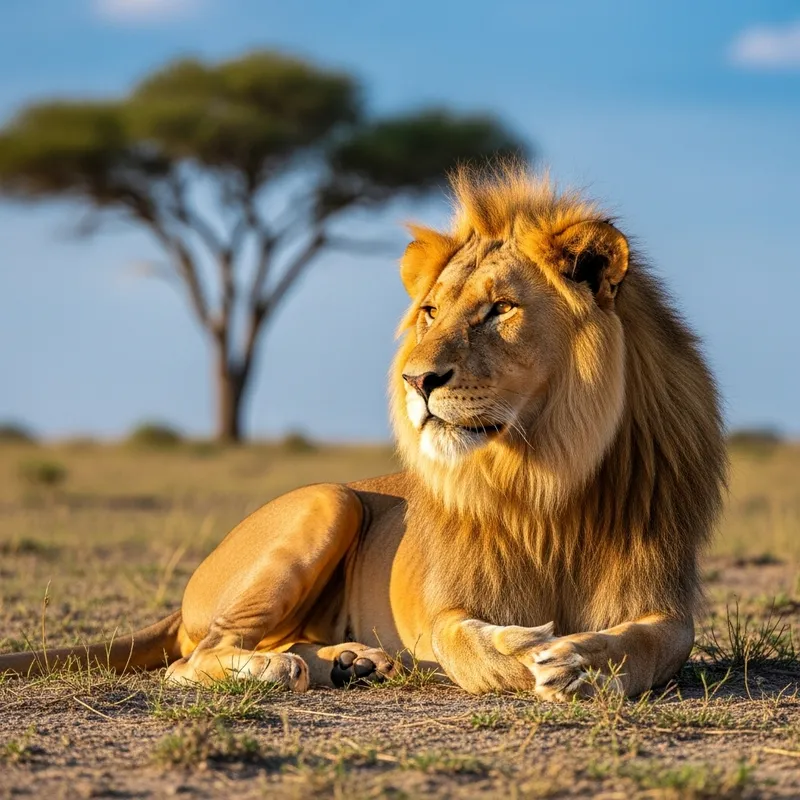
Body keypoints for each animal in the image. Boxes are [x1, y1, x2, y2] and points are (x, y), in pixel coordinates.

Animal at [0, 163, 727, 700]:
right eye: (430, 311)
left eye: (500, 309)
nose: (417, 380)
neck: (544, 473)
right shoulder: (446, 605)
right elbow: (464, 642)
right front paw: (524, 649)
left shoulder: (663, 602)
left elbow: (654, 642)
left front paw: (585, 663)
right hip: (329, 499)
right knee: (194, 657)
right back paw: (280, 668)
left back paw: (350, 661)